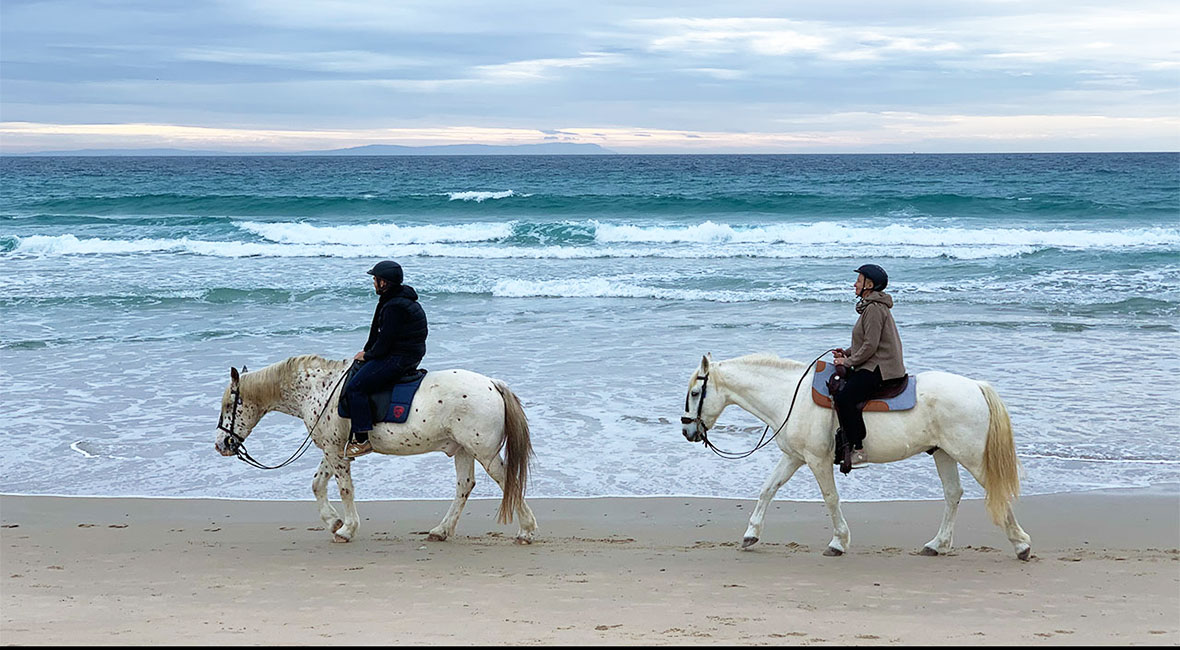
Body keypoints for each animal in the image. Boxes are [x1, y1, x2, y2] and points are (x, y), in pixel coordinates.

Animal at [214, 356, 538, 545]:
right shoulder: (332, 449)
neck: (321, 389)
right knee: (464, 487)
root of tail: (493, 384)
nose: (221, 445)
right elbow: (318, 484)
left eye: (230, 405)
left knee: (507, 480)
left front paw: (346, 529)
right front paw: (334, 521)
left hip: (482, 452)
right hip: (462, 450)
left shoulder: (335, 451)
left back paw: (526, 531)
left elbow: (345, 489)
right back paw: (441, 531)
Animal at [684, 353, 1033, 561]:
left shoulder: (817, 460)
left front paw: (838, 542)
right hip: (944, 454)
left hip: (969, 455)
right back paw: (937, 545)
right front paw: (751, 535)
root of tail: (976, 386)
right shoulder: (794, 457)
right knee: (952, 494)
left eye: (695, 393)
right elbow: (767, 490)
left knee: (992, 491)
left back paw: (1021, 544)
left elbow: (830, 498)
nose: (688, 430)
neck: (789, 396)